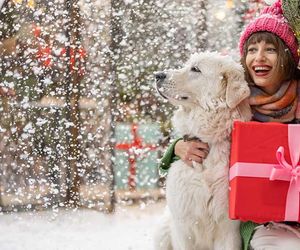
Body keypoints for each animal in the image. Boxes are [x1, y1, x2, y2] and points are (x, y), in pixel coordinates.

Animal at [154, 51, 252, 249]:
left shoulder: (228, 230)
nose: (158, 75)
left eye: (195, 69)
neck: (209, 141)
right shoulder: (183, 228)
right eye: (187, 65)